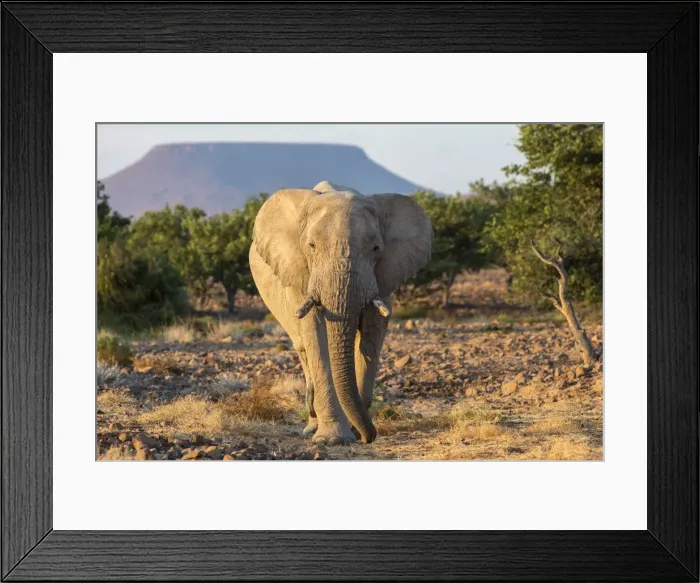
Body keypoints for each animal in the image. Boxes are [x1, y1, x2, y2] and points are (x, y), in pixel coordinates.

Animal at [249, 181, 433, 445]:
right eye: (311, 247)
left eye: (376, 248)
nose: (368, 437)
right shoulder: (301, 276)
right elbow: (316, 336)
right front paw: (332, 440)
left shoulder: (383, 275)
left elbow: (371, 336)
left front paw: (355, 431)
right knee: (303, 349)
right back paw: (312, 427)